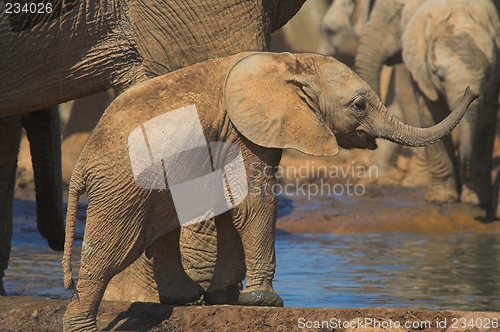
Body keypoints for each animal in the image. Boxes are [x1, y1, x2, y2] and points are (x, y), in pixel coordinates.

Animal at [61, 52, 476, 332]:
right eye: (359, 105)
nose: (472, 92)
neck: (290, 63)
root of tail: (80, 164)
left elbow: (231, 204)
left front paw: (225, 298)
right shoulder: (245, 130)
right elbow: (251, 202)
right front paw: (265, 301)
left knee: (161, 230)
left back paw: (187, 298)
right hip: (120, 185)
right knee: (111, 249)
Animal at [356, 0, 500, 205]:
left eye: (487, 75)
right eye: (439, 76)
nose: (471, 92)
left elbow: (486, 118)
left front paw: (474, 201)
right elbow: (430, 112)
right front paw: (442, 199)